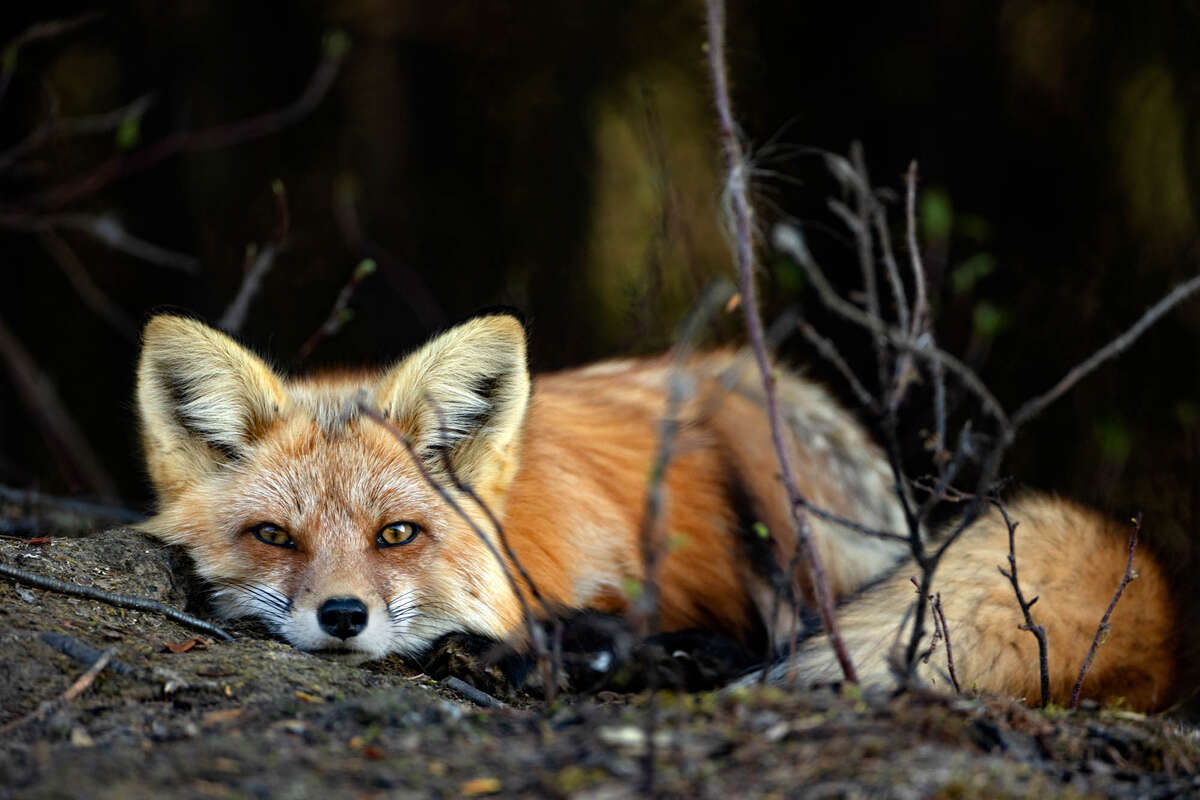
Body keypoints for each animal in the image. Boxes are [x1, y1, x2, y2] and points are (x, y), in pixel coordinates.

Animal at [135, 312, 1181, 711]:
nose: (343, 616)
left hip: (763, 442)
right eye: (274, 536)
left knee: (791, 632)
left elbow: (622, 624)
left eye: (398, 533)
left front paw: (570, 654)